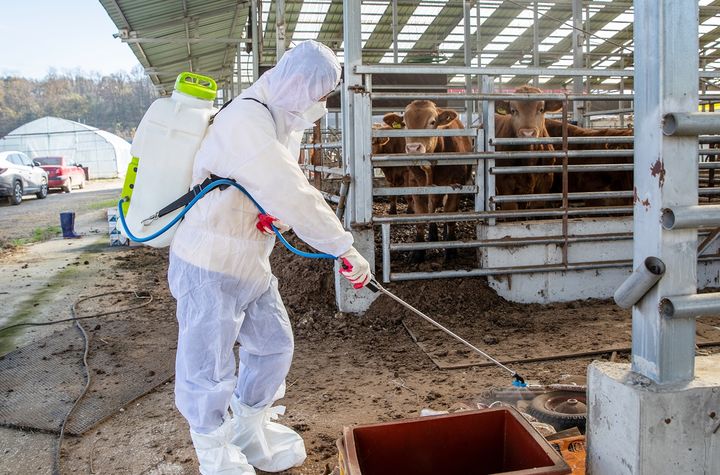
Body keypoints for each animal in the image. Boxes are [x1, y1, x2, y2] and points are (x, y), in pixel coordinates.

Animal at [382, 100, 472, 262]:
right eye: (405, 124)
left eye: (432, 122)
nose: (413, 148)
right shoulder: (415, 185)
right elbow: (422, 215)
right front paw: (419, 251)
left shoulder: (457, 184)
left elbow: (450, 215)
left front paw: (451, 249)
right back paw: (433, 235)